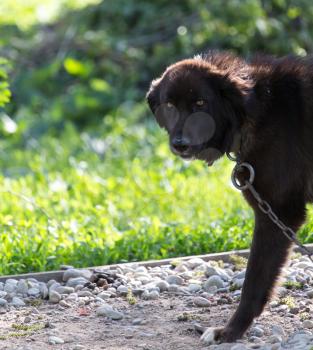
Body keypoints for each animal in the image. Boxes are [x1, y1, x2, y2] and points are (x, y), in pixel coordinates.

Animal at [145, 52, 310, 344]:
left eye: (200, 103)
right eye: (170, 105)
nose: (180, 144)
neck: (255, 110)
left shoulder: (278, 213)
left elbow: (254, 282)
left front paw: (231, 331)